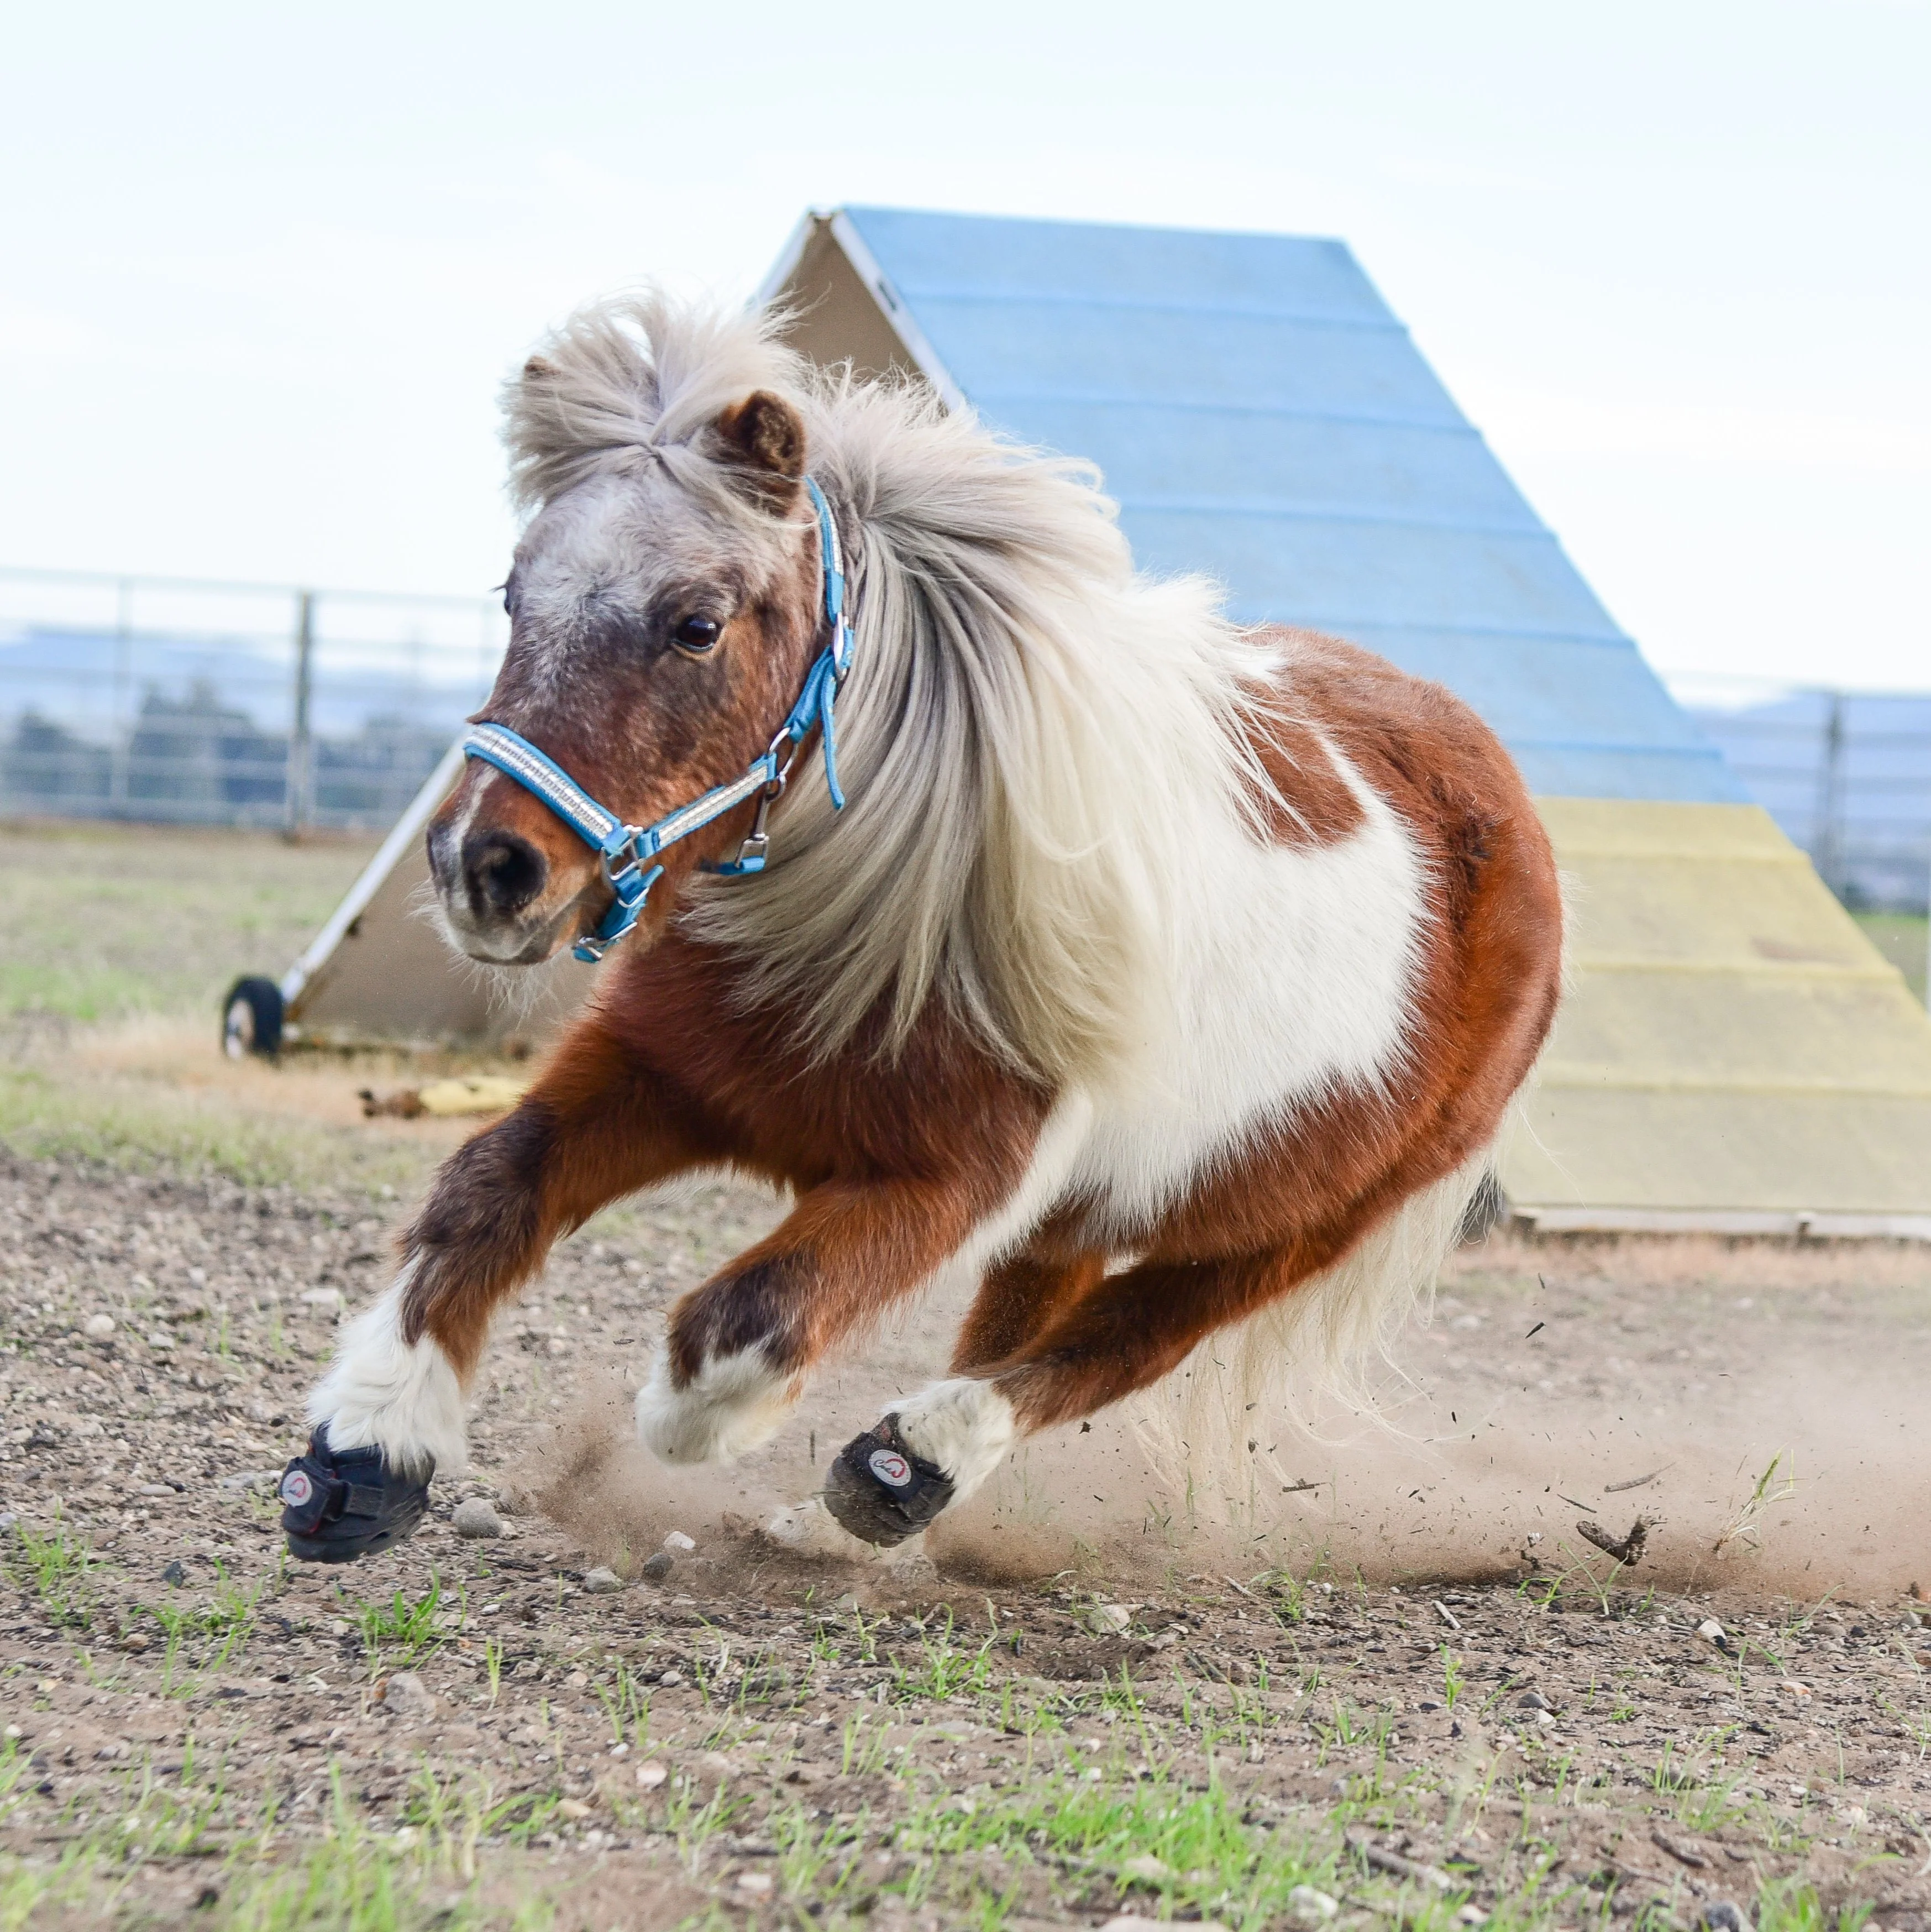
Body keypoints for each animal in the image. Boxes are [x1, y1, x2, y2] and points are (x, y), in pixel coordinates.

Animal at [275, 292, 1563, 1565]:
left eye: (695, 623)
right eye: (514, 595)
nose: (481, 867)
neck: (884, 906)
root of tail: (1503, 794)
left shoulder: (949, 1181)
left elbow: (749, 1315)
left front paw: (687, 1422)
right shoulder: (656, 1073)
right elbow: (486, 1188)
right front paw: (366, 1447)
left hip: (1282, 1229)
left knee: (1109, 1348)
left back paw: (902, 1467)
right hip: (1094, 1214)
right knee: (1027, 1320)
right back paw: (851, 1512)